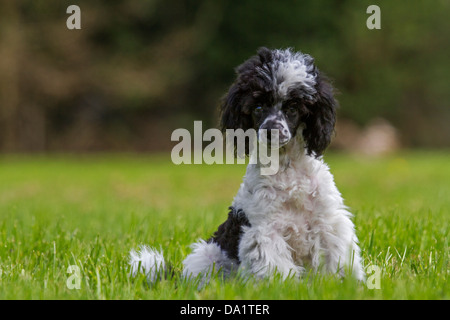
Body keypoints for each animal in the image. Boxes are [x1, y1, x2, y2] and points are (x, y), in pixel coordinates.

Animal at [129, 47, 366, 282]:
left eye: (293, 108)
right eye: (258, 107)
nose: (271, 130)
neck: (286, 168)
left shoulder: (329, 223)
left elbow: (339, 260)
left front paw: (349, 285)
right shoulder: (265, 231)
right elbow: (277, 270)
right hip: (207, 256)